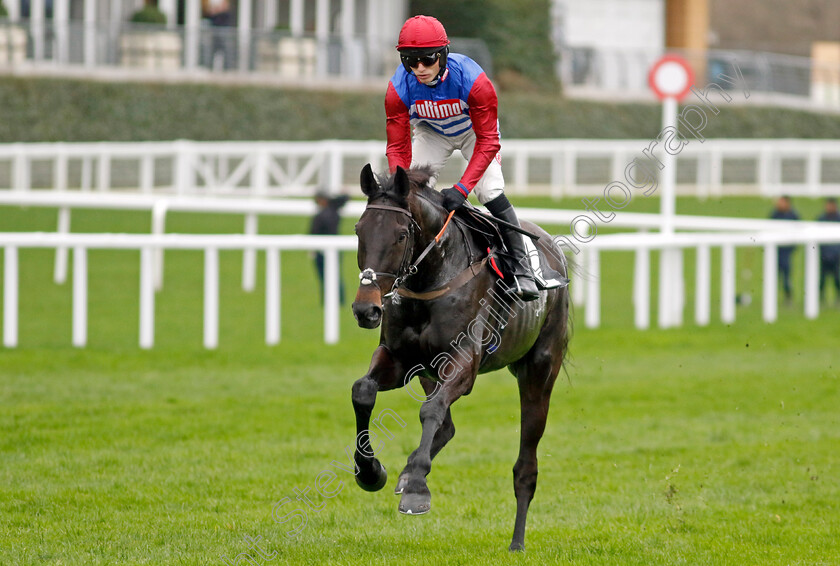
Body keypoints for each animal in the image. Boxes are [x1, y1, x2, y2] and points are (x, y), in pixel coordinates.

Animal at [348, 165, 572, 556]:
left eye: (401, 234)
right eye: (360, 229)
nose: (366, 309)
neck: (431, 277)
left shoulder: (464, 362)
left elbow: (431, 411)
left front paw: (417, 487)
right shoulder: (399, 358)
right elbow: (363, 390)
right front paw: (371, 471)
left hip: (540, 369)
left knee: (526, 465)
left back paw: (517, 541)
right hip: (428, 370)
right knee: (448, 426)